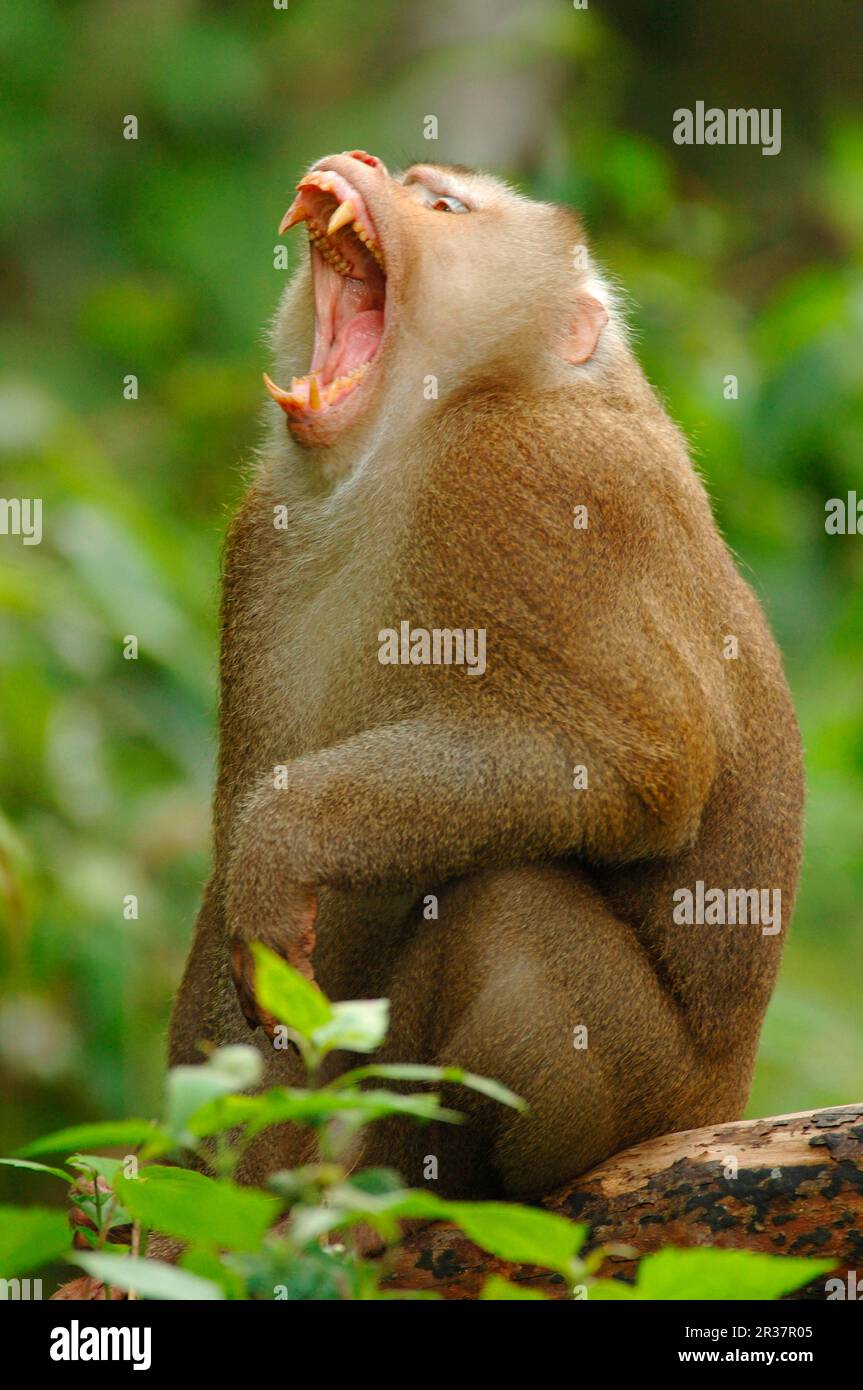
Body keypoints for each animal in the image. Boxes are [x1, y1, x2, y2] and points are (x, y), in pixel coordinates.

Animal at [168, 146, 800, 1200]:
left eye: (444, 205)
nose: (366, 163)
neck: (409, 444)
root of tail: (722, 1098)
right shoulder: (260, 540)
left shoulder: (538, 484)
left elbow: (638, 768)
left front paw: (288, 838)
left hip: (640, 1091)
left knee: (506, 909)